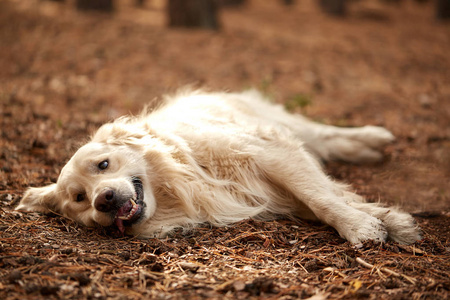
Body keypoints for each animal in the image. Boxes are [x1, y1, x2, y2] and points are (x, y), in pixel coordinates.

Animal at [15, 91, 420, 244]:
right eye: (79, 199)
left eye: (103, 164)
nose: (105, 200)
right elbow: (326, 196)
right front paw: (388, 219)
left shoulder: (271, 152)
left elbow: (321, 197)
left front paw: (360, 226)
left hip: (285, 126)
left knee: (324, 133)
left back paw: (374, 137)